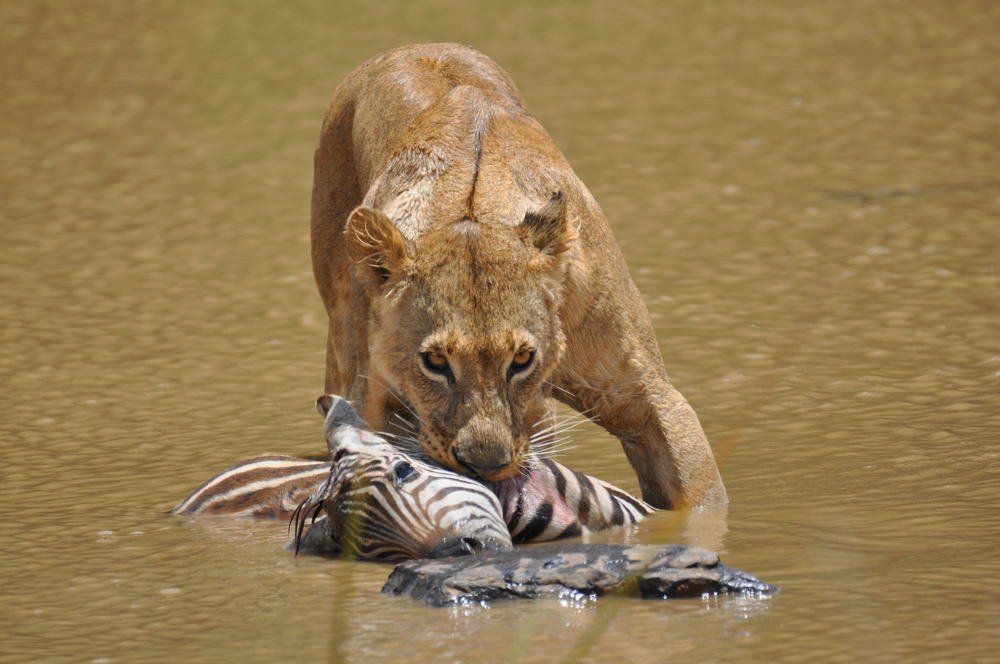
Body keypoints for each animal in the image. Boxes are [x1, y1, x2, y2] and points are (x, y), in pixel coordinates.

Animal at [310, 43, 727, 509]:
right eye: (434, 362)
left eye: (523, 359)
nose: (484, 465)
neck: (472, 205)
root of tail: (413, 47)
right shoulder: (370, 399)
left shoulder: (648, 396)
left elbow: (701, 501)